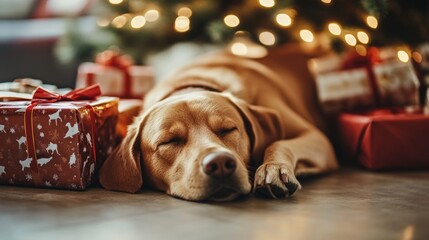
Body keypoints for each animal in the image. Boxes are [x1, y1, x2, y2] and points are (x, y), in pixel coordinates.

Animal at [98, 44, 336, 201]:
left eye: (228, 129)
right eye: (169, 141)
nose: (220, 163)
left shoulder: (317, 137)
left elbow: (278, 143)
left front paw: (274, 168)